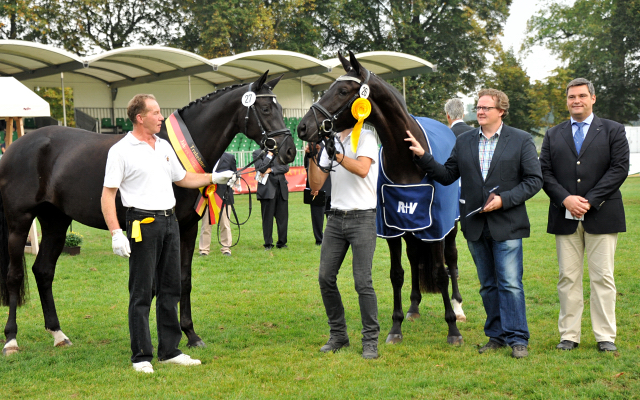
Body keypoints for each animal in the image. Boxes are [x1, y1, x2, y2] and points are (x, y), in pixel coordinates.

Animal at [0, 70, 296, 354]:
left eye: (281, 108)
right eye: (266, 109)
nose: (290, 151)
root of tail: (14, 148)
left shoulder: (187, 227)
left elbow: (183, 280)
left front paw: (190, 334)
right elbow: (154, 285)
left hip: (55, 222)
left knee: (43, 271)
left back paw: (58, 334)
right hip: (19, 222)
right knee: (14, 276)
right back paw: (11, 340)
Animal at [298, 51, 462, 346]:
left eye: (342, 91)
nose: (303, 127)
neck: (408, 160)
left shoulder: (435, 230)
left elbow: (441, 274)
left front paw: (452, 329)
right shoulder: (393, 228)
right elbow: (397, 274)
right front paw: (396, 327)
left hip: (451, 226)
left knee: (452, 261)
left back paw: (458, 307)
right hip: (411, 230)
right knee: (413, 260)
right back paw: (413, 307)